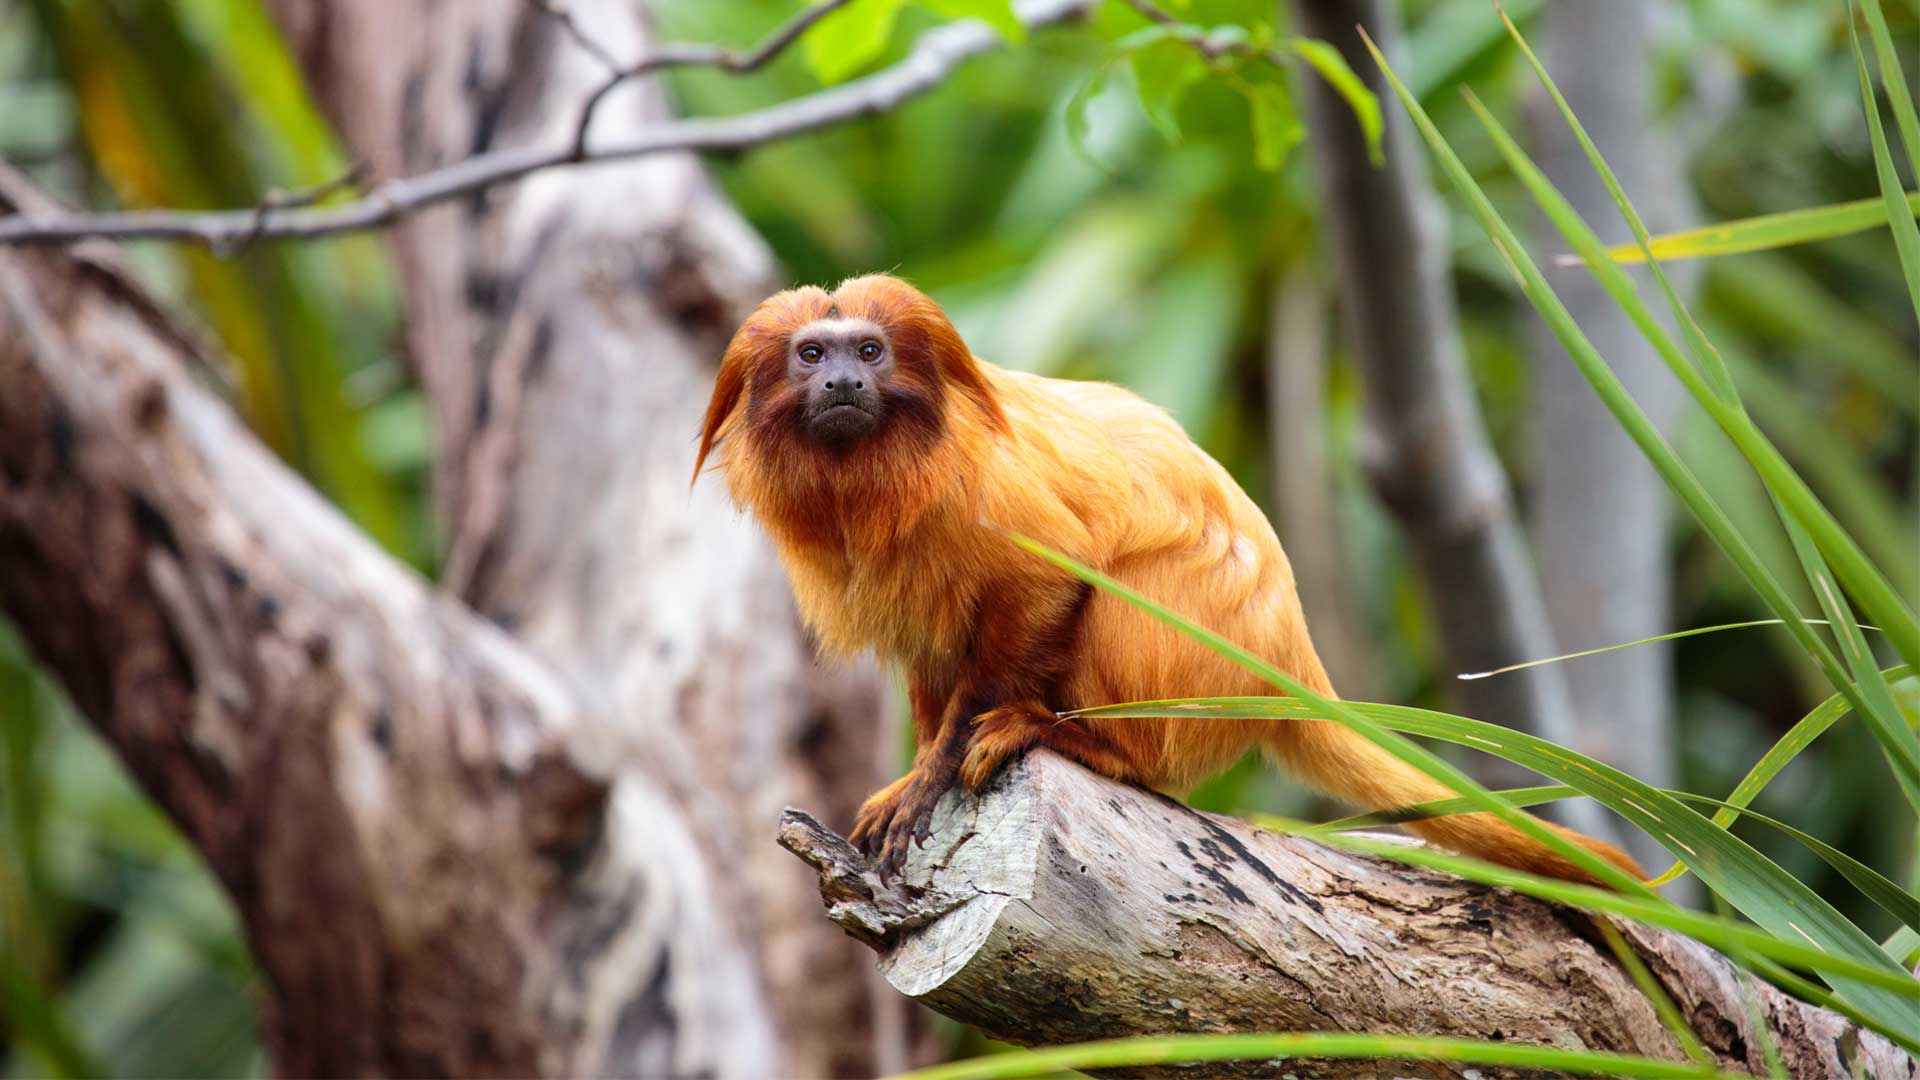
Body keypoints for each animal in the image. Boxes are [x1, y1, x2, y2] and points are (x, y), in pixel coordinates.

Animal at [698, 272, 1643, 887]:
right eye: (811, 355)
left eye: (870, 350)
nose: (843, 381)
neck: (880, 474)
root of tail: (1286, 660)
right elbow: (937, 666)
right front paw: (916, 768)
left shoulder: (990, 501)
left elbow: (1051, 582)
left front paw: (936, 773)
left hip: (1196, 663)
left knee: (1128, 607)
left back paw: (1078, 742)